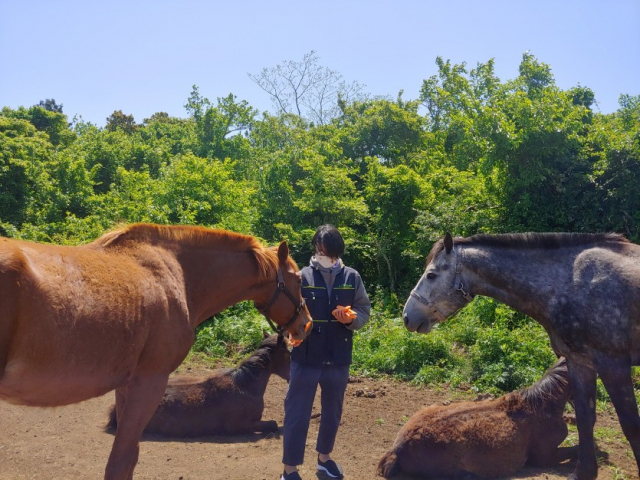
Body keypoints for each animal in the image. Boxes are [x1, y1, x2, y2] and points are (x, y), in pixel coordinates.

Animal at [402, 232, 640, 480]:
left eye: (431, 275)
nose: (407, 316)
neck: (571, 283)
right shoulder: (580, 363)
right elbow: (585, 420)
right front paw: (584, 472)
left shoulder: (613, 366)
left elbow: (631, 426)